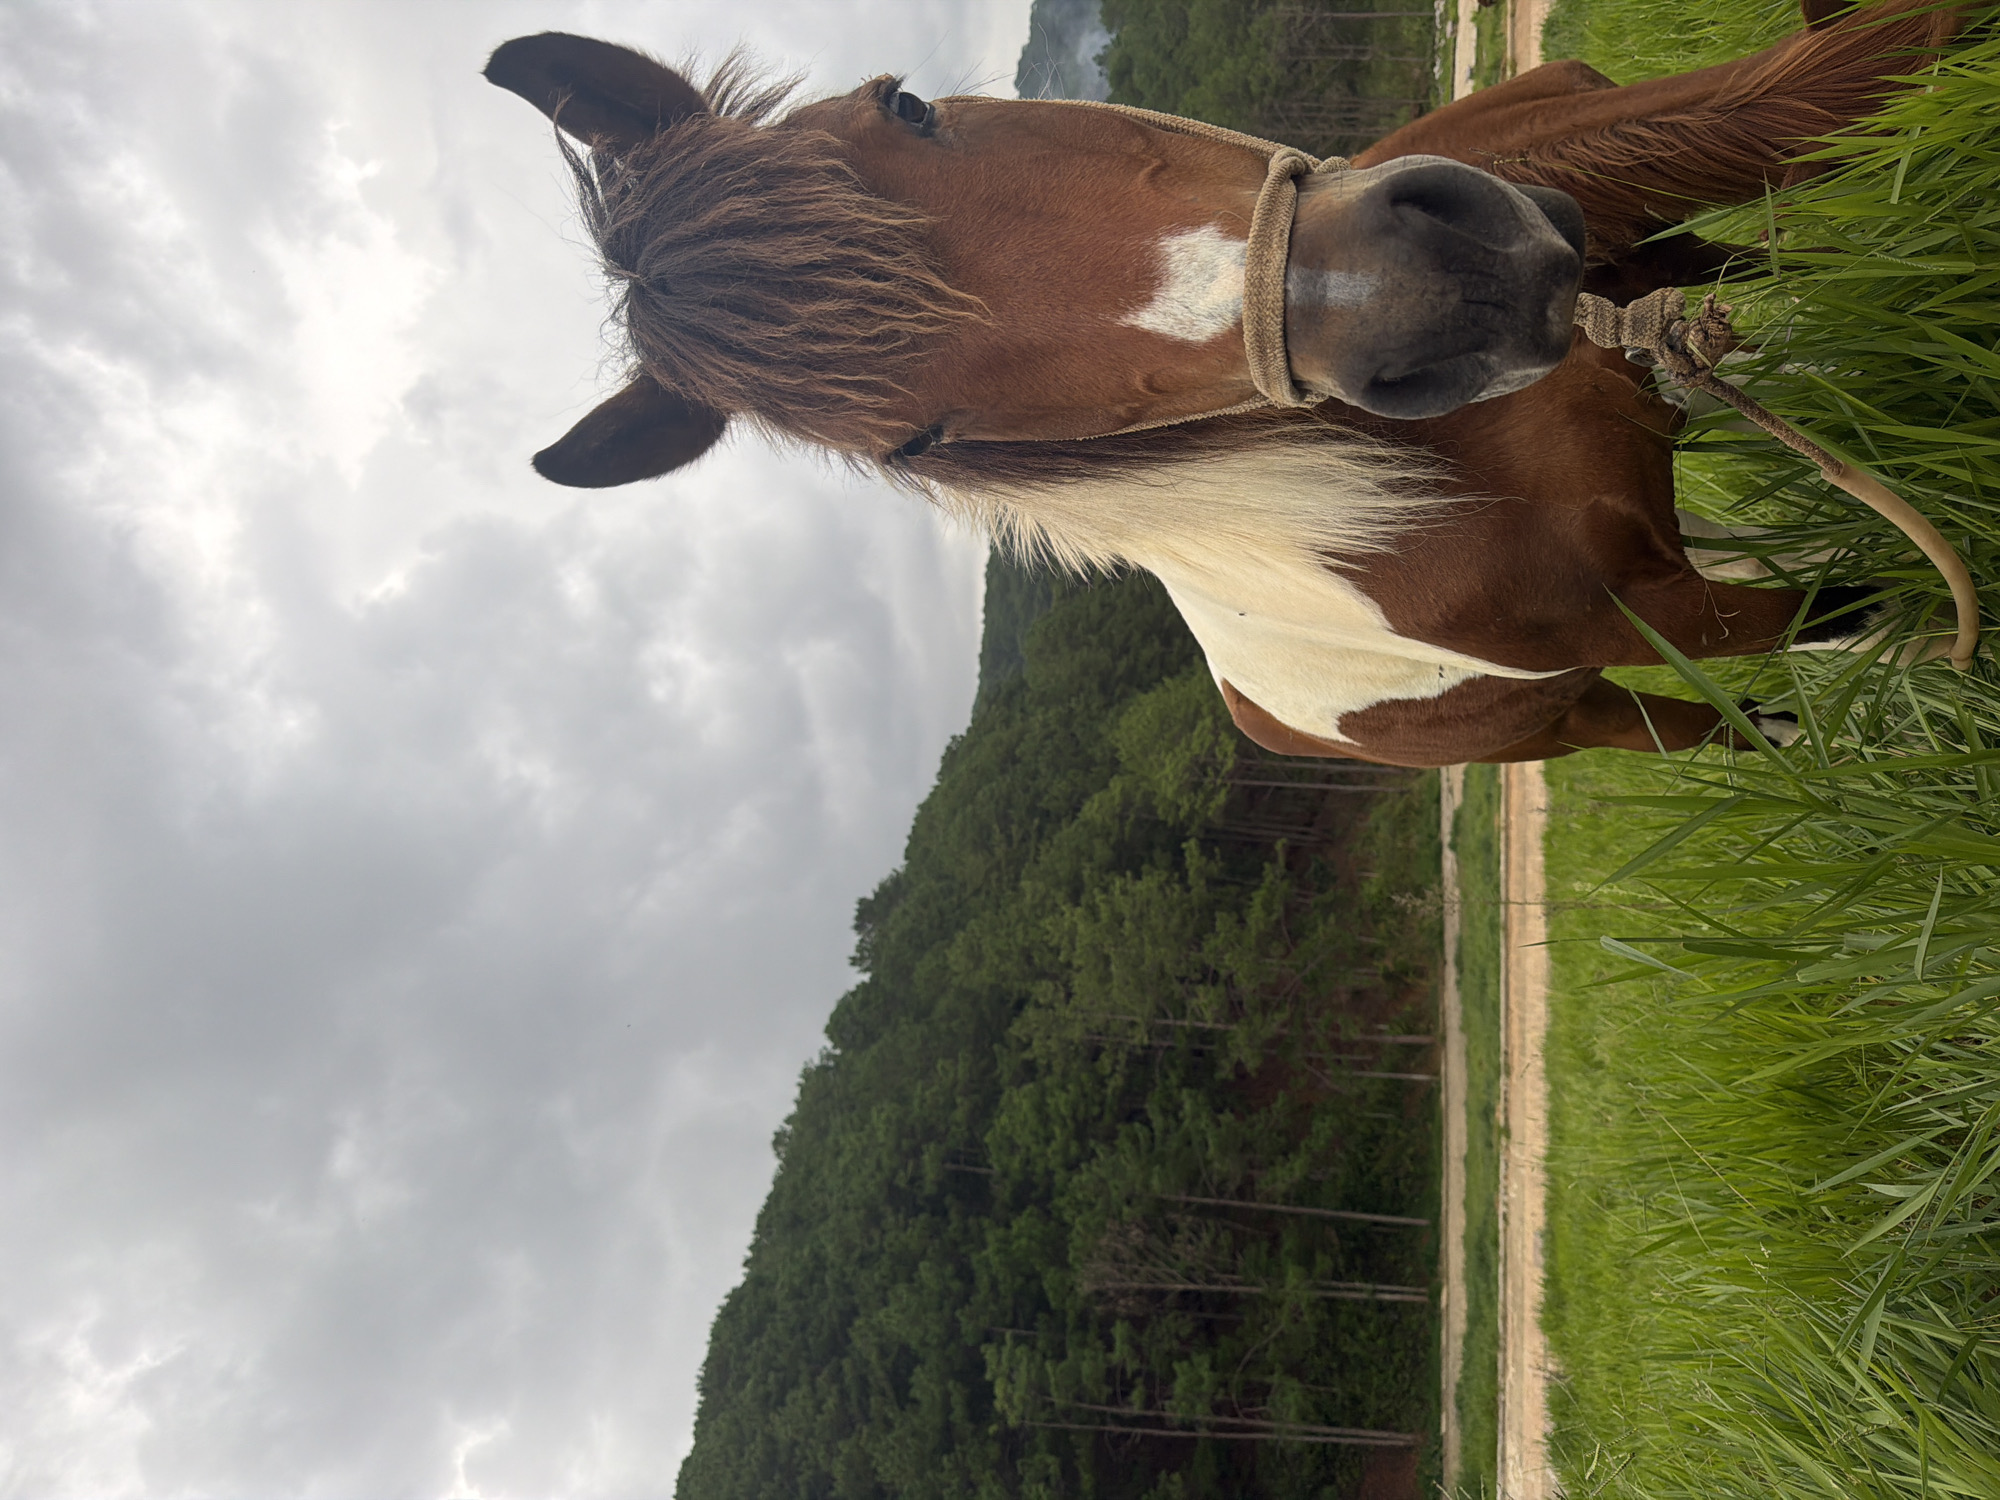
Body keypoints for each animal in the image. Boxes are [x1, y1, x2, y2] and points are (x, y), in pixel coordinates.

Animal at [483, 0, 1964, 767]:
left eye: (906, 105)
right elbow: (1874, 602)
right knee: (1731, 733)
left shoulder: (1619, 237)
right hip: (1581, 715)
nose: (1436, 287)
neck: (1438, 479)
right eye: (916, 438)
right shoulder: (1666, 613)